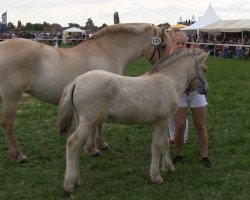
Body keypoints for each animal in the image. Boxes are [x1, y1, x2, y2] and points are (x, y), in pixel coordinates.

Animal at [0, 23, 172, 162]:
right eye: (163, 45)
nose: (167, 65)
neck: (107, 51)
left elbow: (100, 124)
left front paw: (101, 145)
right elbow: (96, 125)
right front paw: (92, 149)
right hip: (12, 96)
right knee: (7, 123)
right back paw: (18, 156)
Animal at [58, 48, 209, 194]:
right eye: (205, 69)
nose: (205, 90)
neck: (169, 80)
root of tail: (76, 81)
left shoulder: (164, 121)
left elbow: (165, 143)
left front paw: (169, 167)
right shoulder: (161, 121)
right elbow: (157, 146)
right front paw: (156, 176)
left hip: (83, 122)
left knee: (77, 147)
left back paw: (77, 181)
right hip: (88, 122)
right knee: (72, 143)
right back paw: (69, 185)